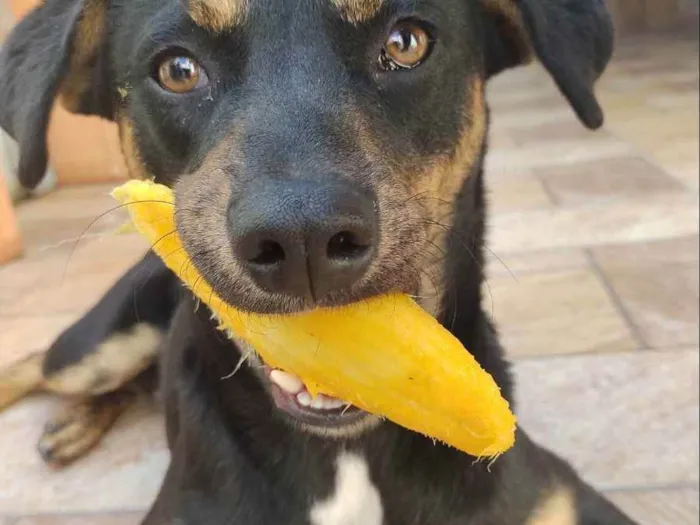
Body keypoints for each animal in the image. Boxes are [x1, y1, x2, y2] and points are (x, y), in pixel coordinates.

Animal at [0, 0, 640, 520]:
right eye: (177, 70)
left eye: (407, 42)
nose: (301, 236)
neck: (345, 451)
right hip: (96, 348)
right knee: (39, 360)